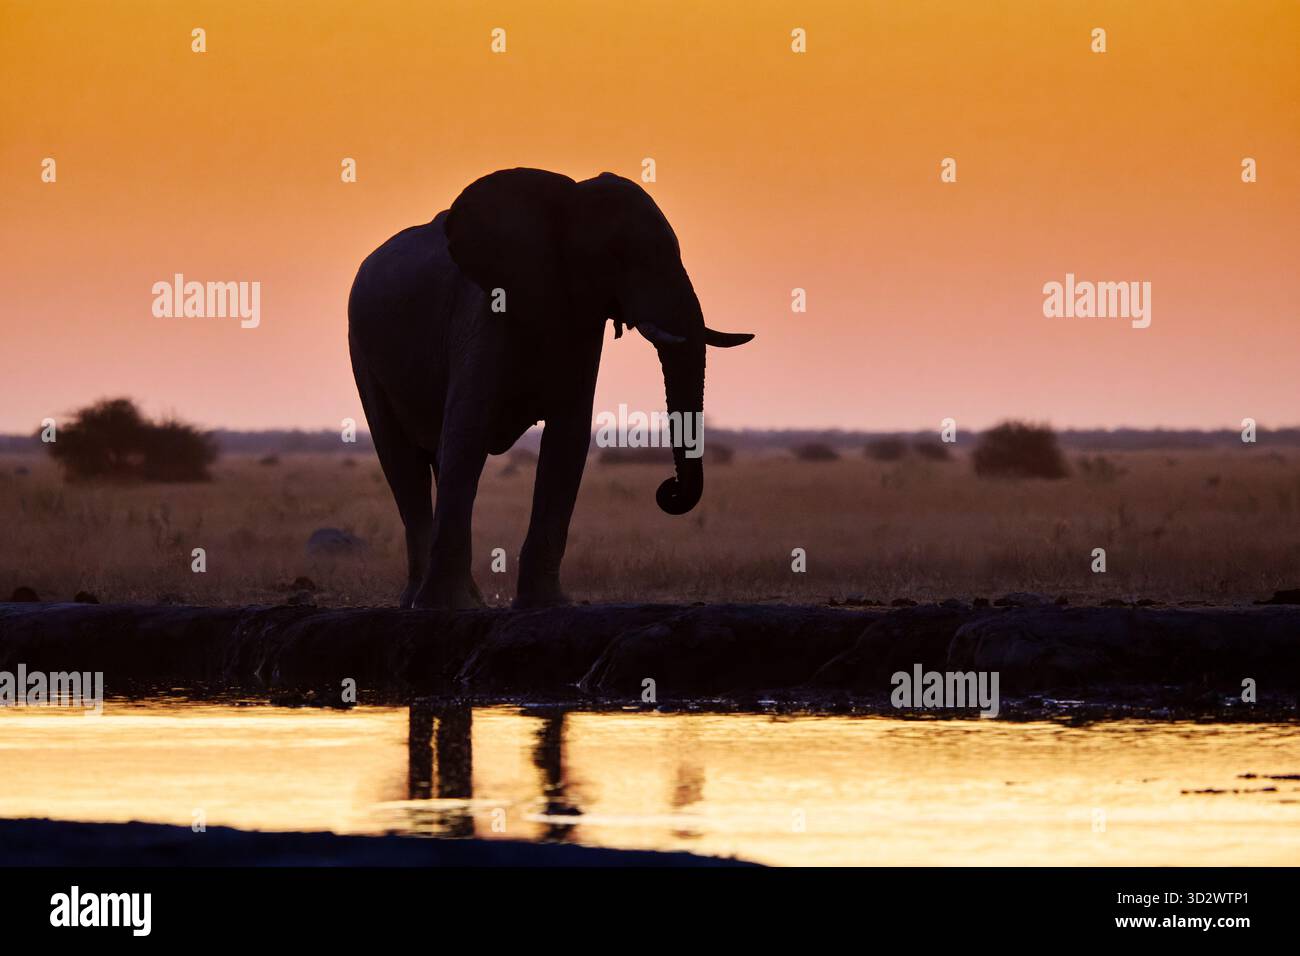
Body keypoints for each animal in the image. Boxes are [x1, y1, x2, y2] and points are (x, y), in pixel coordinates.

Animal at [348, 168, 753, 609]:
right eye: (617, 254)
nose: (668, 490)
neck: (565, 201)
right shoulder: (484, 310)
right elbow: (469, 429)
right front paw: (443, 607)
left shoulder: (581, 318)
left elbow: (568, 438)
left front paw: (546, 604)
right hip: (362, 349)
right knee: (402, 460)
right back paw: (421, 601)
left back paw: (467, 600)